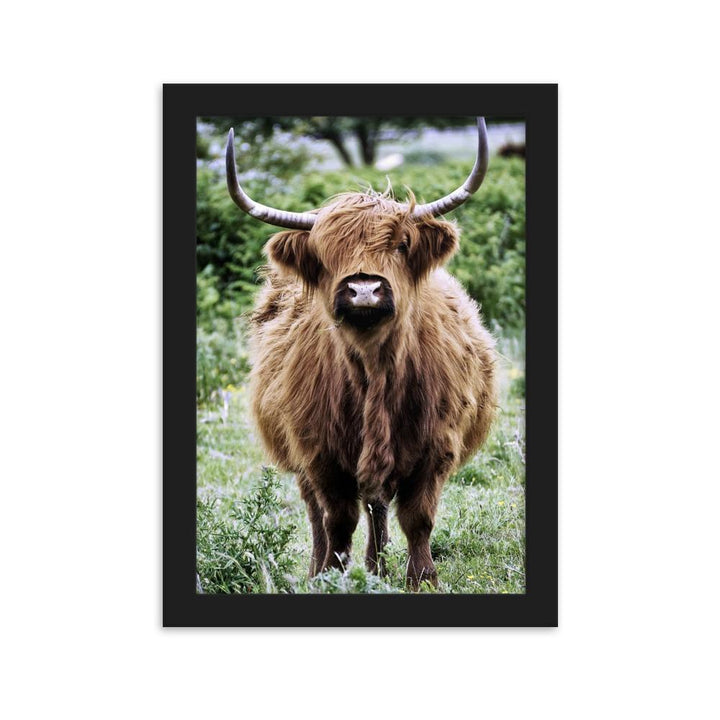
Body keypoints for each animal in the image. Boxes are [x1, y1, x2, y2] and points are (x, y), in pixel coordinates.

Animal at [225, 118, 497, 589]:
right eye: (325, 252)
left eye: (402, 244)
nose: (364, 289)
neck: (375, 370)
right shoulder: (319, 454)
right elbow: (337, 519)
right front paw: (332, 576)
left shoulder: (436, 448)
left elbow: (417, 518)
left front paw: (421, 579)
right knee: (322, 513)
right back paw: (326, 569)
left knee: (378, 505)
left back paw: (377, 566)